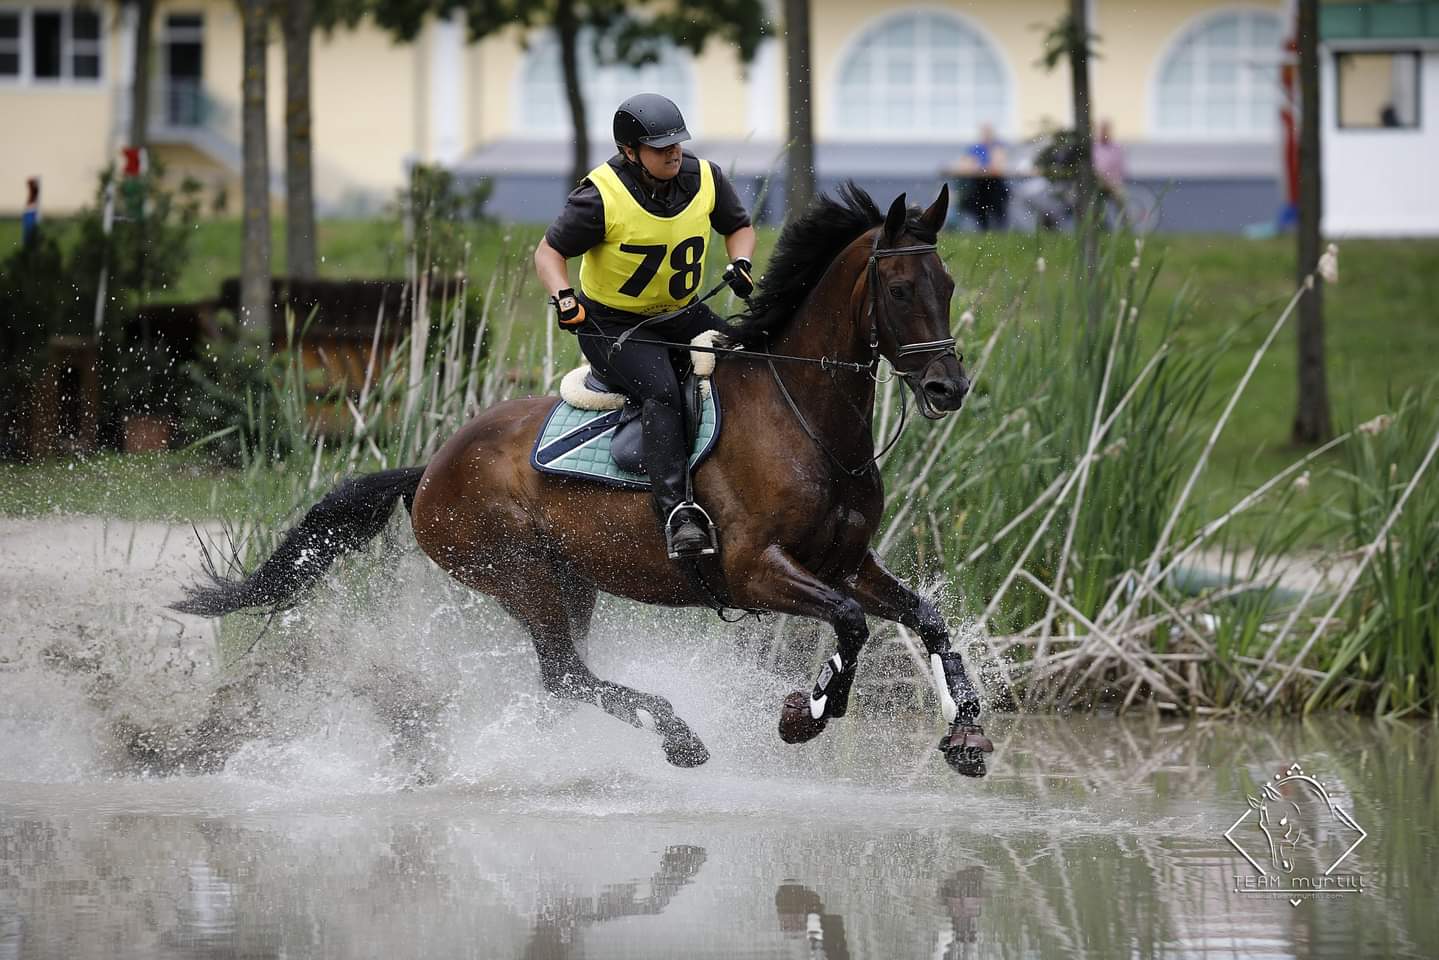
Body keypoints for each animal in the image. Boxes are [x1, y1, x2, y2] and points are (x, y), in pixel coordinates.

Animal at [174, 182, 996, 777]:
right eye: (899, 289)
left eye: (949, 283)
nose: (948, 388)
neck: (805, 418)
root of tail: (430, 468)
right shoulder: (756, 570)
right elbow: (852, 625)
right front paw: (808, 713)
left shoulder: (844, 562)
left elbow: (925, 619)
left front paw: (966, 736)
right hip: (519, 574)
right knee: (563, 674)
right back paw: (677, 735)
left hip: (574, 577)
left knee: (566, 677)